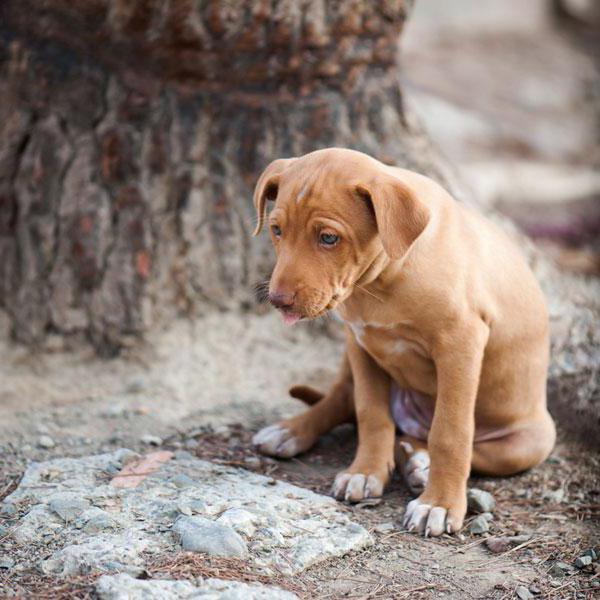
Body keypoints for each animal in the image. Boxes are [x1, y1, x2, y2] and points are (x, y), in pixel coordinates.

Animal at [251, 148, 556, 536]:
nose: (277, 300)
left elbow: (451, 432)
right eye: (276, 230)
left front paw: (438, 503)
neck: (382, 281)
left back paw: (420, 462)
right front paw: (365, 473)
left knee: (449, 443)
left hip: (530, 443)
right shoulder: (360, 342)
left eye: (329, 238)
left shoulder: (460, 344)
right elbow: (370, 412)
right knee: (343, 398)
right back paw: (290, 431)